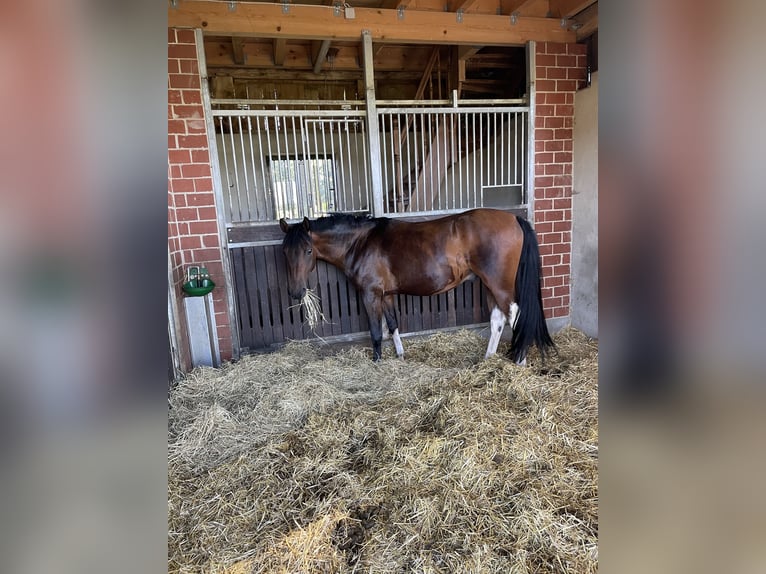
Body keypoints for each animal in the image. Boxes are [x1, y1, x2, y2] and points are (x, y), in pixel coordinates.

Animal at [279, 208, 554, 363]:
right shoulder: (387, 295)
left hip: (500, 285)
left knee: (516, 317)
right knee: (497, 320)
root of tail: (515, 219)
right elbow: (392, 325)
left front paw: (377, 362)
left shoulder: (370, 295)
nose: (295, 292)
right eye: (285, 251)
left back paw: (519, 361)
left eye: (307, 250)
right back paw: (488, 359)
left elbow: (376, 332)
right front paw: (400, 356)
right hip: (489, 285)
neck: (361, 242)